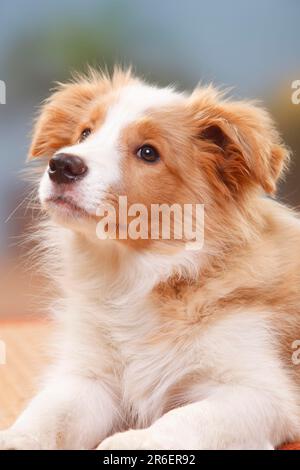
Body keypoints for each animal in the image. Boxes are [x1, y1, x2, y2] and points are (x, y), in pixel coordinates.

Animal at [0, 69, 300, 448]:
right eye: (85, 133)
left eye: (148, 153)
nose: (62, 164)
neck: (139, 275)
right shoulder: (92, 376)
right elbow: (51, 411)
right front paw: (16, 437)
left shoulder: (261, 390)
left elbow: (187, 417)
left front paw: (133, 442)